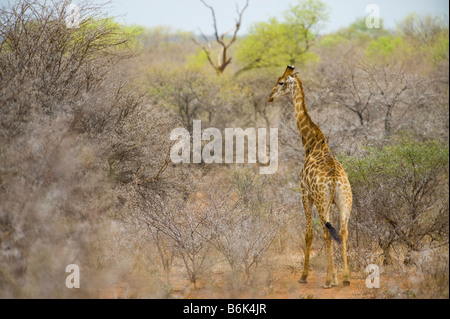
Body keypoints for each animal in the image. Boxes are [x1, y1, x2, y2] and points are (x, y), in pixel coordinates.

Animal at [268, 65, 354, 290]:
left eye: (281, 82)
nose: (270, 97)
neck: (311, 143)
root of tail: (335, 177)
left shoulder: (305, 193)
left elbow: (308, 234)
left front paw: (304, 276)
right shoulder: (330, 202)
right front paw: (335, 277)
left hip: (322, 199)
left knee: (326, 232)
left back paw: (328, 280)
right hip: (344, 201)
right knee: (342, 231)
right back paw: (345, 278)